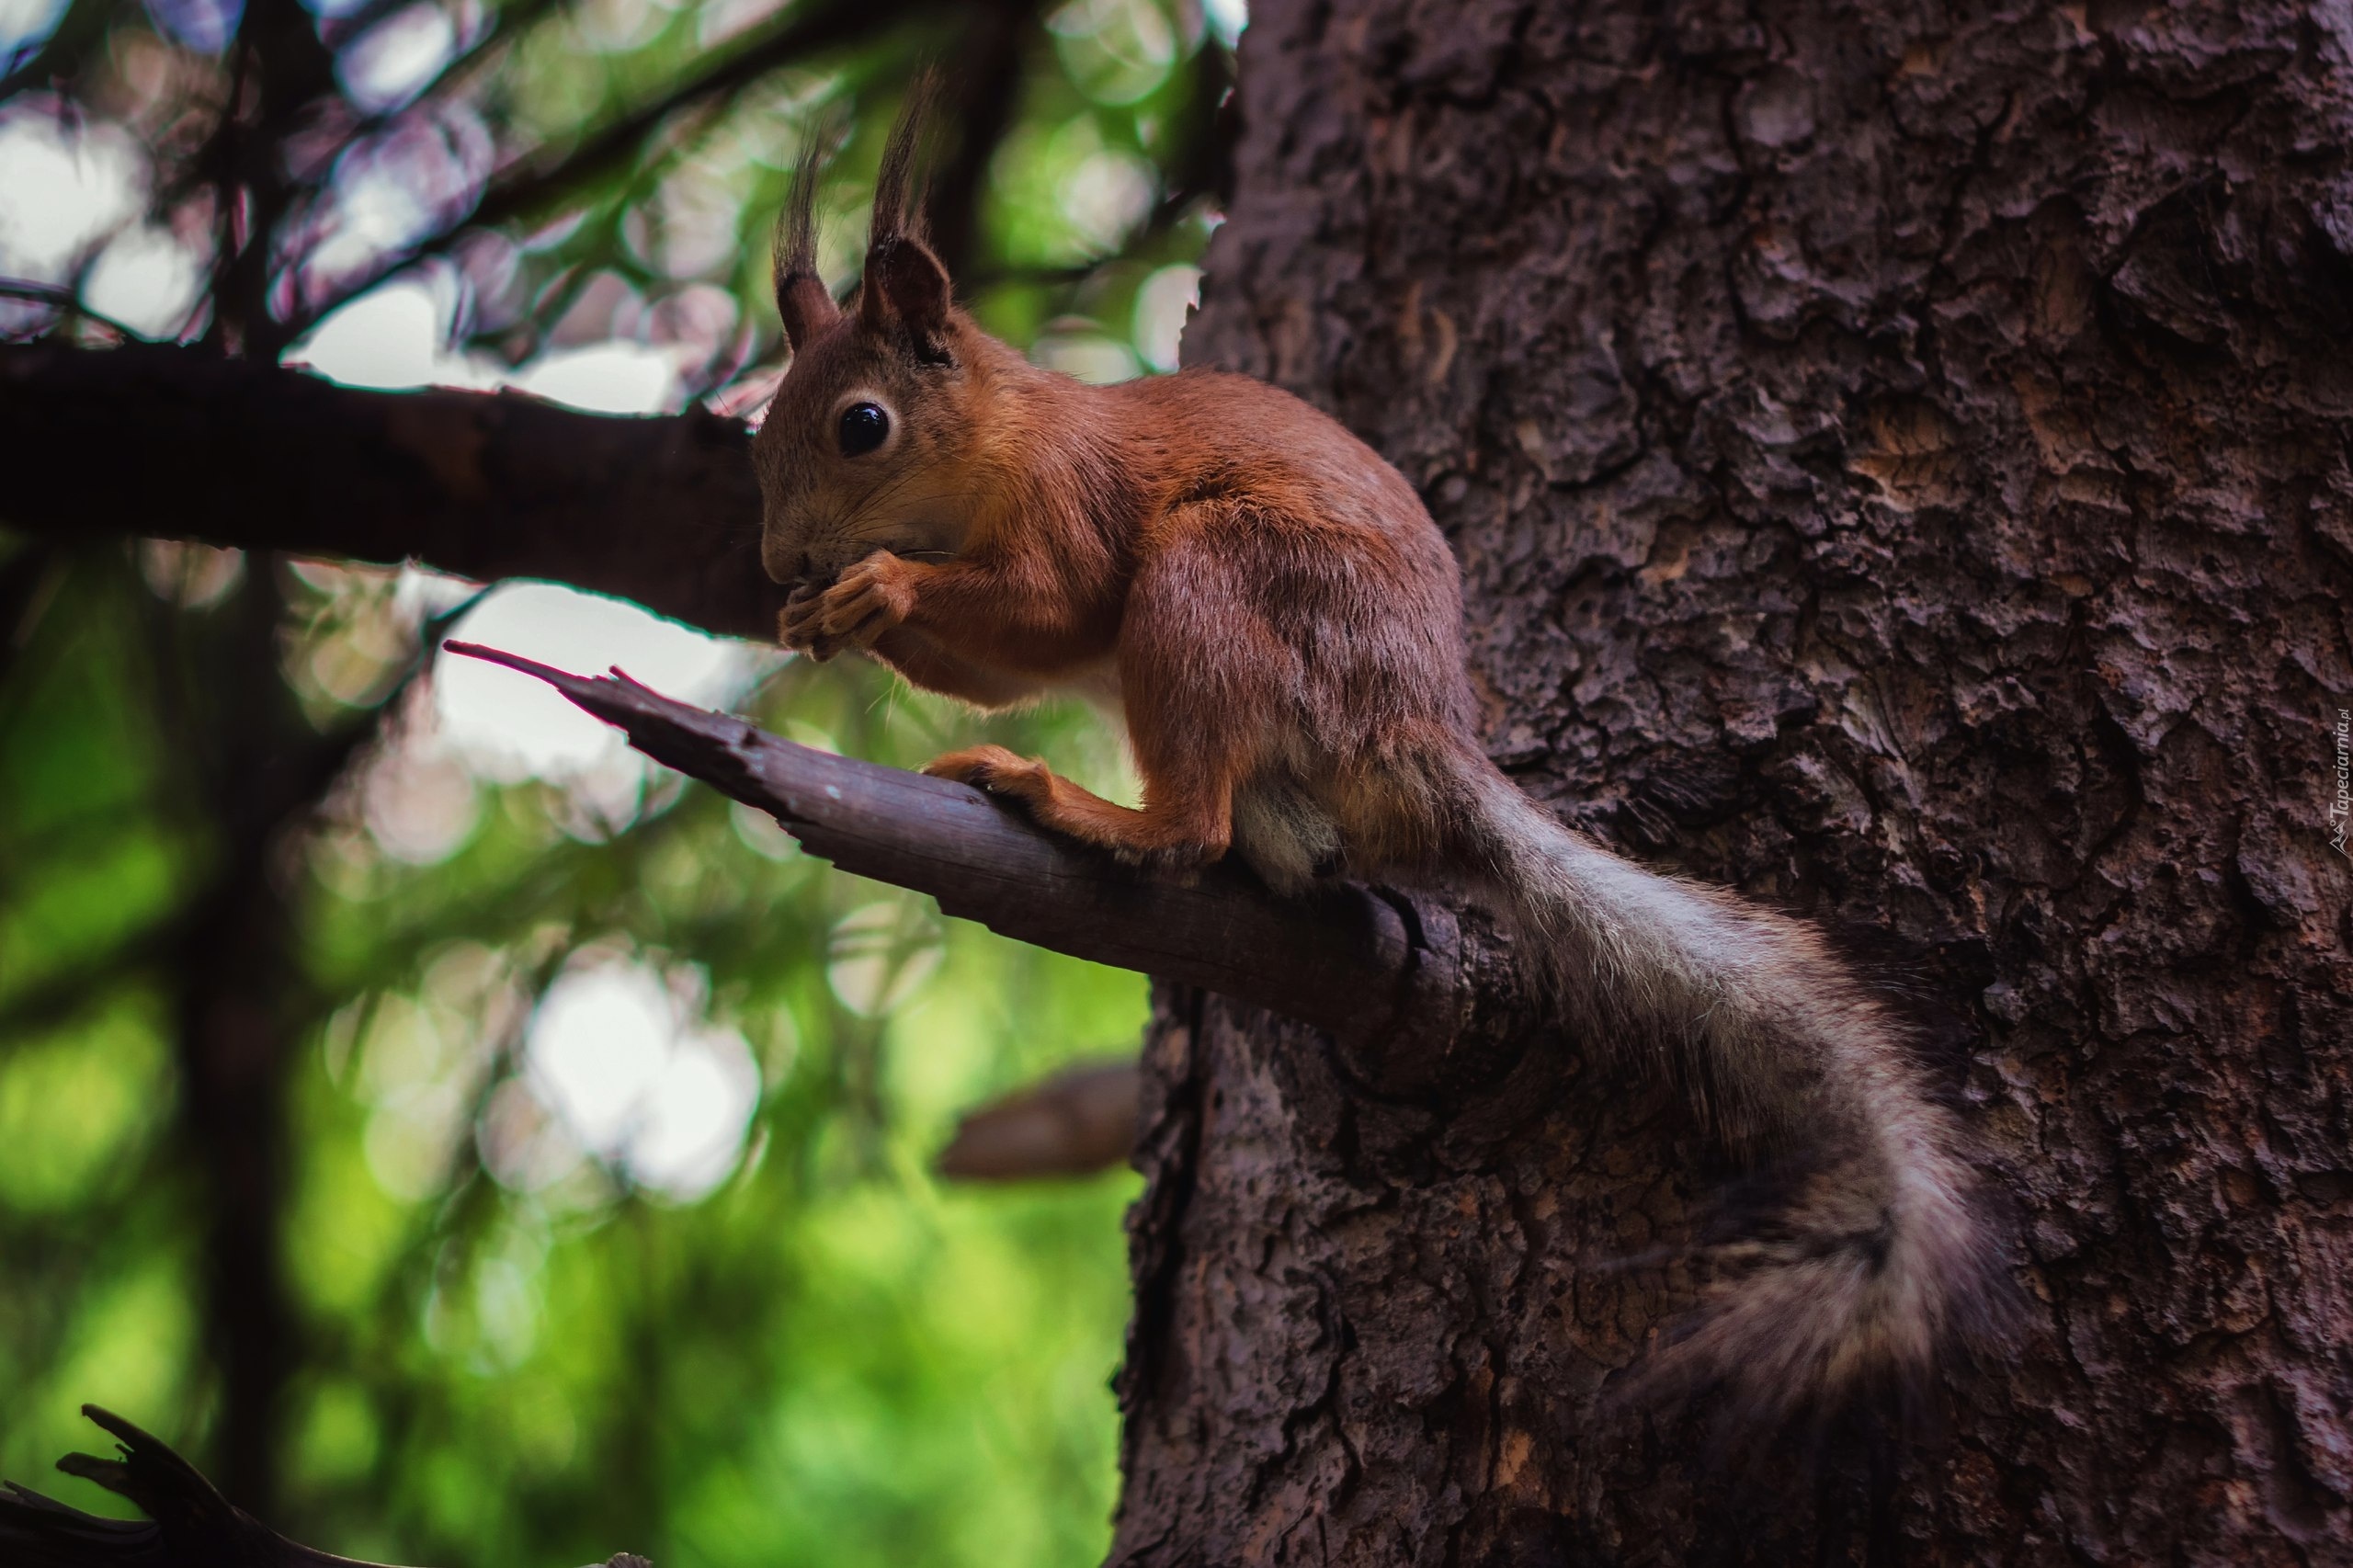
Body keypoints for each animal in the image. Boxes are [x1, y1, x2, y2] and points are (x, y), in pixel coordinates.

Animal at [748, 88, 2005, 1431]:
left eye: (862, 426)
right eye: (758, 429)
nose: (780, 560)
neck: (1000, 434)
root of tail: (1417, 735)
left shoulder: (1069, 506)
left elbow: (1048, 609)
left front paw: (877, 585)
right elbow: (1000, 667)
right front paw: (815, 617)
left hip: (1220, 577)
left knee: (1190, 826)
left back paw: (1081, 807)